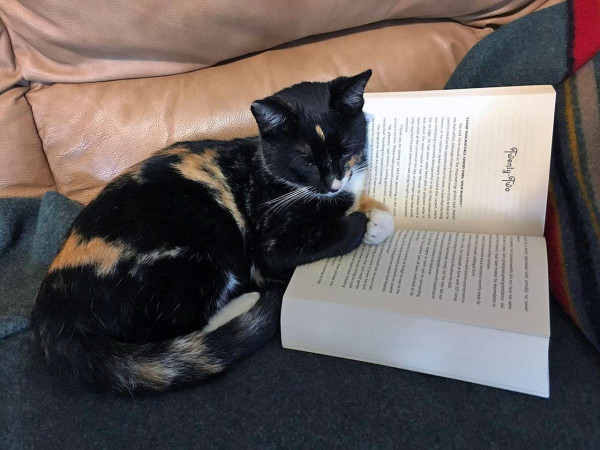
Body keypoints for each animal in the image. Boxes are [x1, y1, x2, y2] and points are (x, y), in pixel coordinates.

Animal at [30, 70, 394, 394]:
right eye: (305, 161)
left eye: (345, 148)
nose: (333, 183)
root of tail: (53, 310)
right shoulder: (271, 243)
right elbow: (318, 236)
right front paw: (363, 223)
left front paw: (379, 216)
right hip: (196, 260)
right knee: (175, 335)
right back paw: (249, 303)